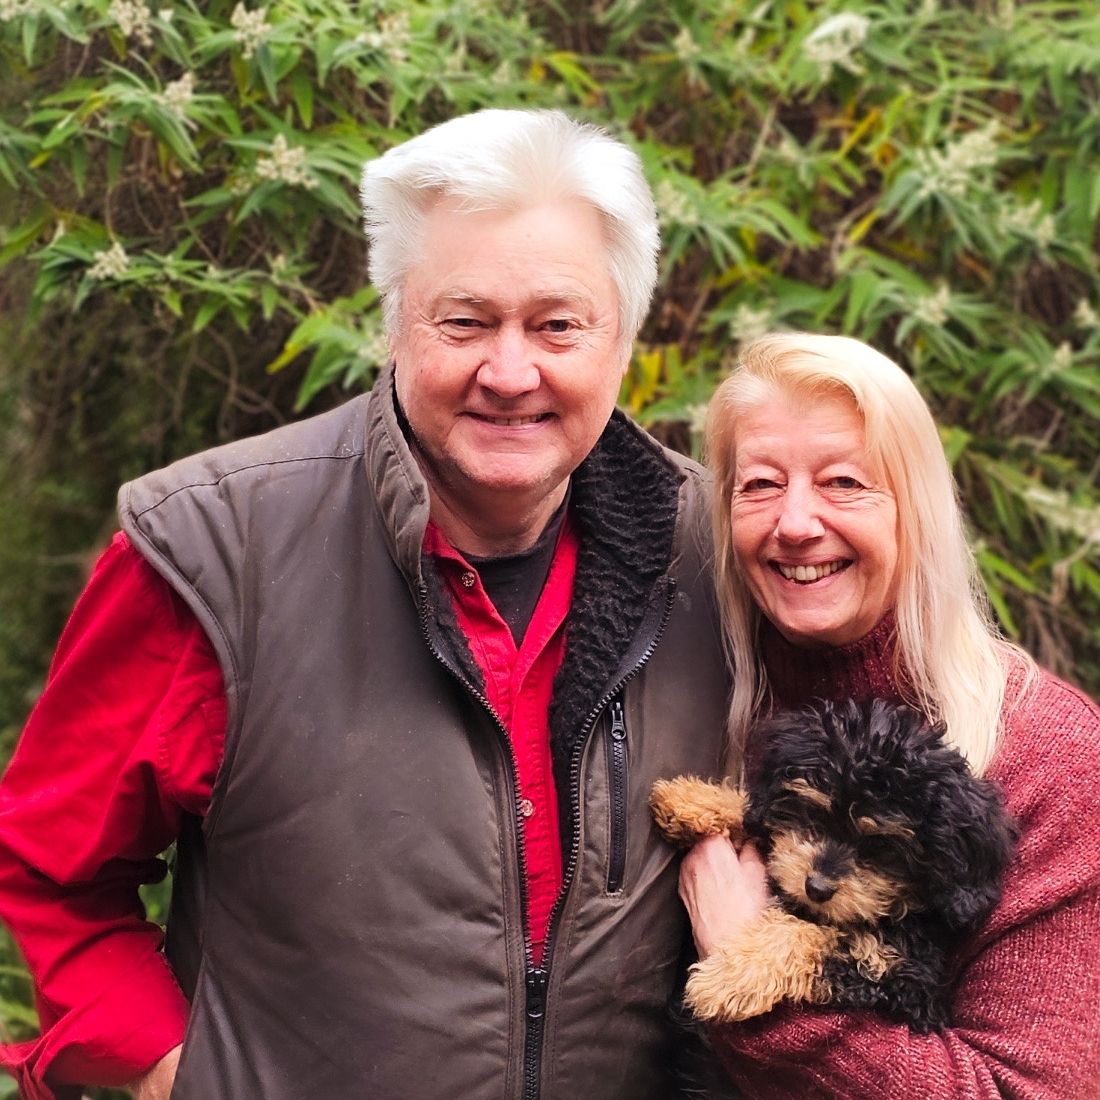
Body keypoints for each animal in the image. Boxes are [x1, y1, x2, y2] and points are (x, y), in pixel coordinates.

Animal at [651, 698, 1016, 1033]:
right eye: (816, 813)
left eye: (882, 846)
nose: (816, 888)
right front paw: (693, 800)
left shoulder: (896, 978)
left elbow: (810, 933)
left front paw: (734, 976)